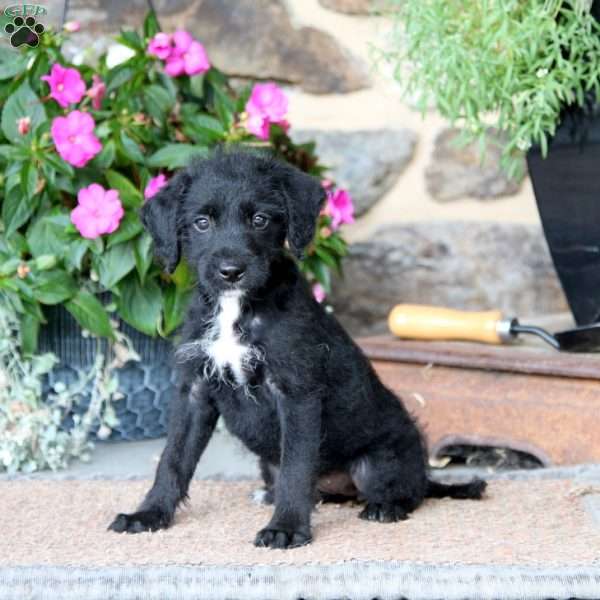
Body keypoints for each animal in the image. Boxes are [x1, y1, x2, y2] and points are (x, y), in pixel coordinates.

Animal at [108, 146, 486, 548]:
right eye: (201, 222)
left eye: (259, 219)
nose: (230, 271)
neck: (237, 309)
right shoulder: (194, 390)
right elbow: (173, 458)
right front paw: (149, 513)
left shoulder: (296, 392)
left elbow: (296, 465)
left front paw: (286, 528)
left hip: (377, 462)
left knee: (410, 491)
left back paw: (386, 506)